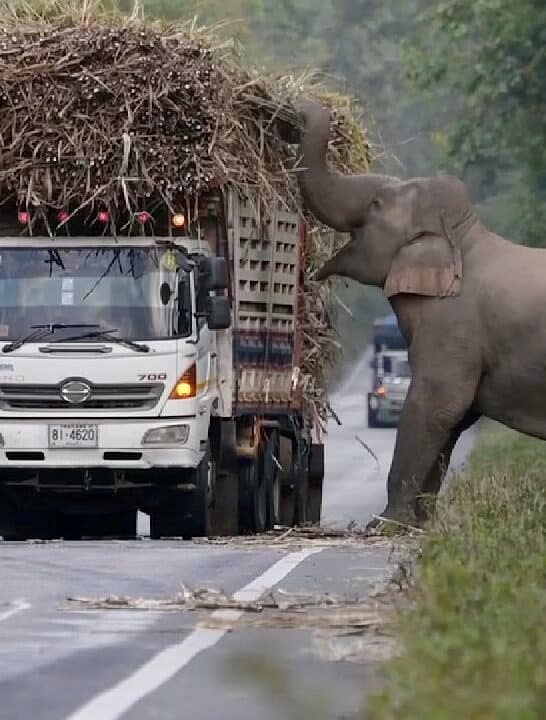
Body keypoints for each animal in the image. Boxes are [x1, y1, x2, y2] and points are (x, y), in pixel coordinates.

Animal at [293, 99, 546, 525]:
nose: (299, 107)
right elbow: (455, 417)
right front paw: (419, 523)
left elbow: (438, 404)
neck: (462, 237)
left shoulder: (454, 324)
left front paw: (385, 523)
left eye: (377, 204)